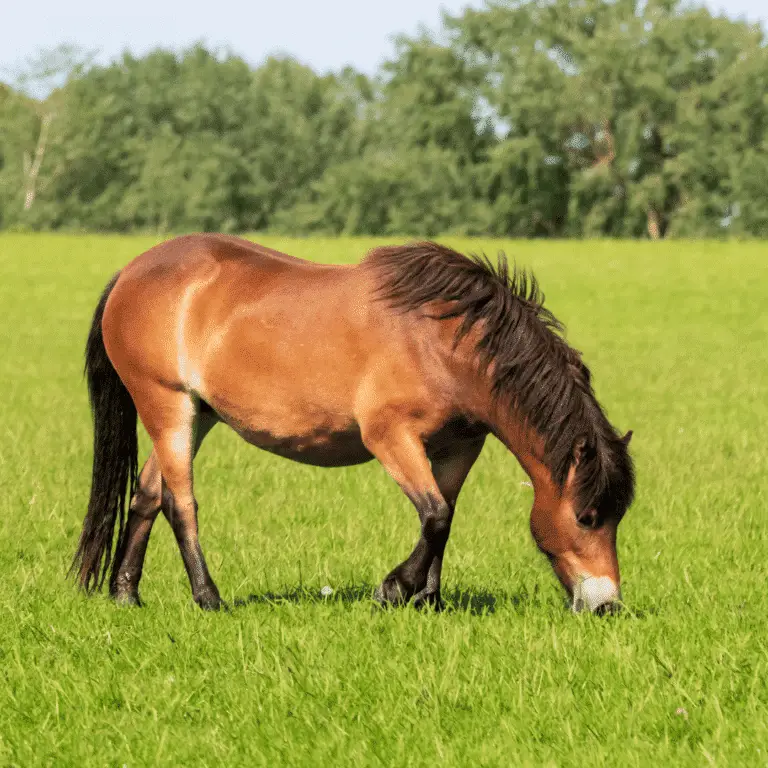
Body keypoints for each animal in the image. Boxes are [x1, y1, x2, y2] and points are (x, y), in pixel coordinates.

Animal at [72, 234, 636, 612]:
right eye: (588, 516)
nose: (607, 605)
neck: (444, 341)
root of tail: (130, 272)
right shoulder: (391, 437)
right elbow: (434, 515)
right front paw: (392, 590)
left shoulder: (458, 447)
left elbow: (445, 517)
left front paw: (429, 600)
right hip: (166, 405)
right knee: (179, 503)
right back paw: (208, 598)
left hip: (197, 414)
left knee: (147, 495)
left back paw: (126, 593)